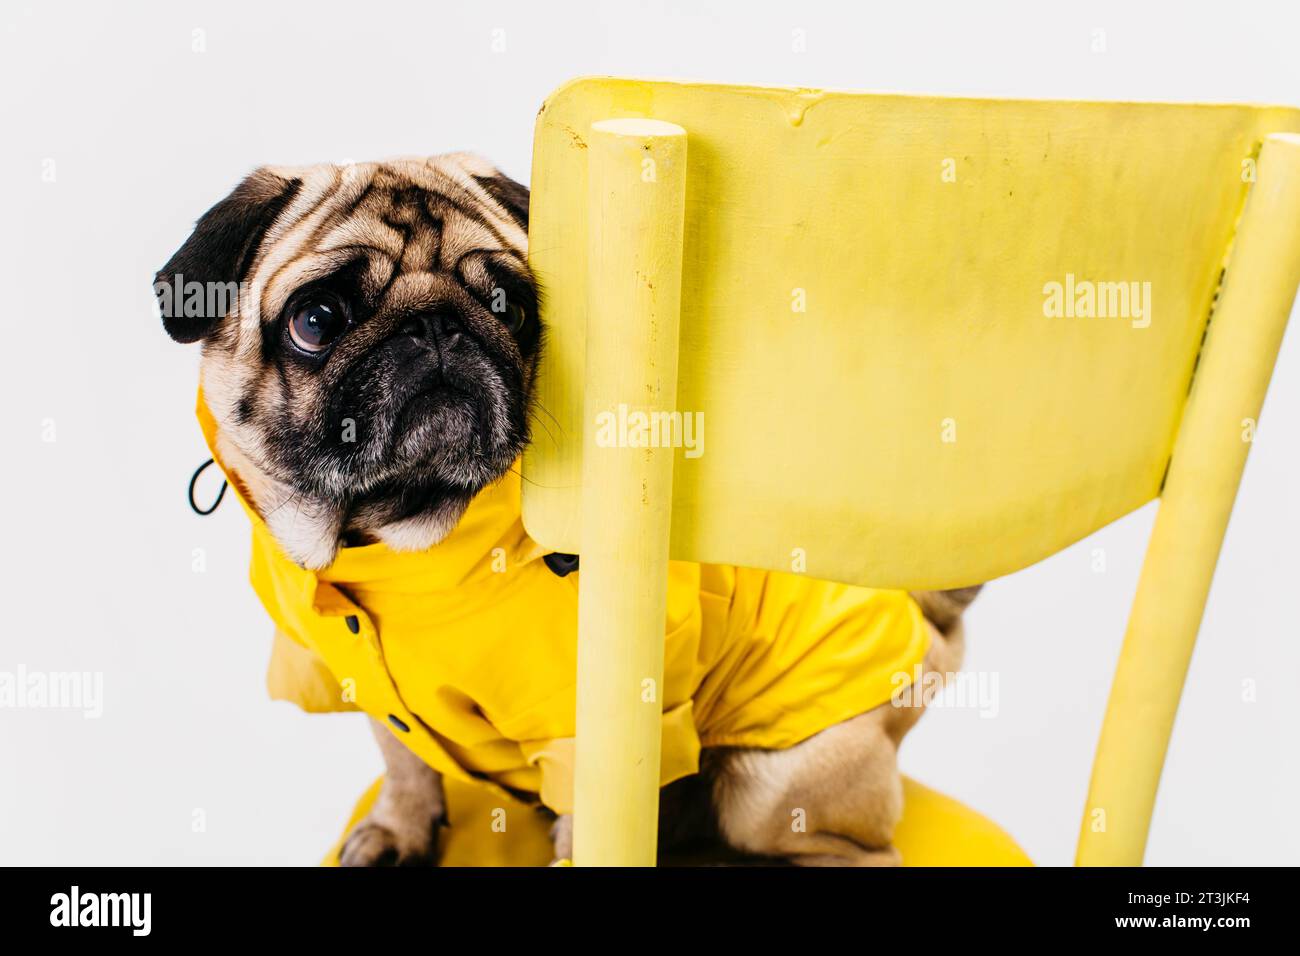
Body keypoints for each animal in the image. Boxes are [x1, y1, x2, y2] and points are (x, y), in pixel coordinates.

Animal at [157, 155, 977, 868]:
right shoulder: (366, 687)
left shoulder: (592, 732)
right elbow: (405, 761)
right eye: (317, 319)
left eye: (510, 308)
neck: (393, 537)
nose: (435, 325)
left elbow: (592, 822)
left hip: (773, 787)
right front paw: (399, 829)